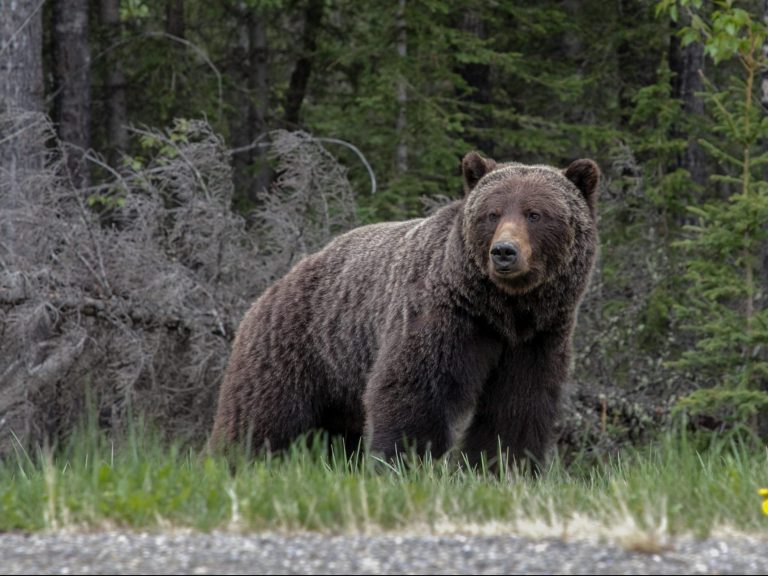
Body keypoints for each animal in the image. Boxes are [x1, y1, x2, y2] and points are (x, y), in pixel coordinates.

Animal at [210, 153, 600, 468]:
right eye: (492, 214)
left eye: (535, 214)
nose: (504, 252)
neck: (503, 310)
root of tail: (274, 287)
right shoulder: (444, 315)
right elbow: (414, 388)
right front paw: (405, 461)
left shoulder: (537, 338)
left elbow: (518, 405)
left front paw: (504, 466)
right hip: (296, 346)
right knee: (260, 416)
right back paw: (233, 462)